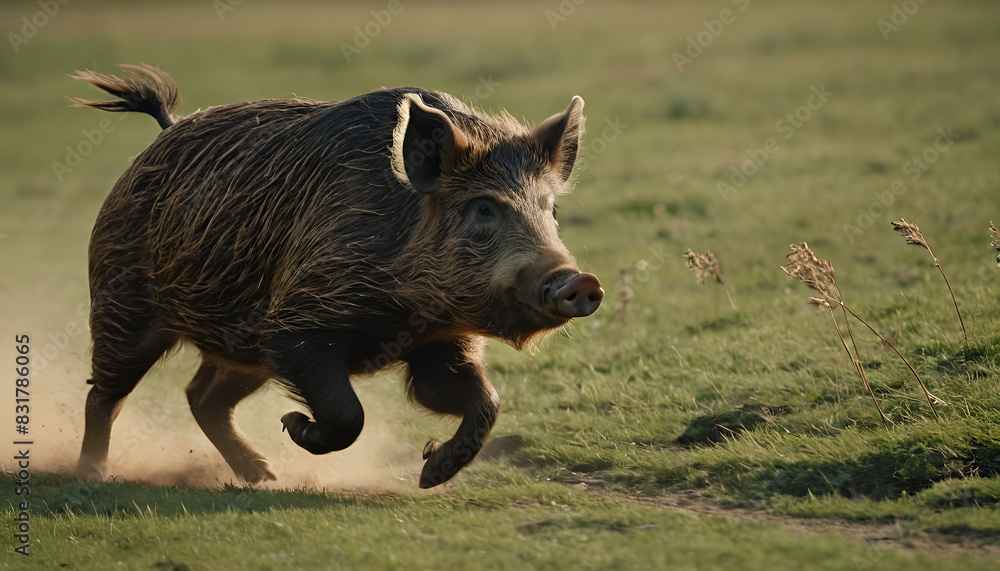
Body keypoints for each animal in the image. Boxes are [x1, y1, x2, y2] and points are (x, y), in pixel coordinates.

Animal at [70, 64, 603, 488]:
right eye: (484, 208)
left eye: (551, 209)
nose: (580, 282)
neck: (407, 309)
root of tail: (166, 131)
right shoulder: (292, 326)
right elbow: (349, 412)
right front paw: (293, 422)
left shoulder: (440, 342)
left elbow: (481, 401)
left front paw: (430, 475)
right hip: (123, 302)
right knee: (104, 393)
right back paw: (92, 475)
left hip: (241, 350)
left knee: (201, 396)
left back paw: (263, 476)